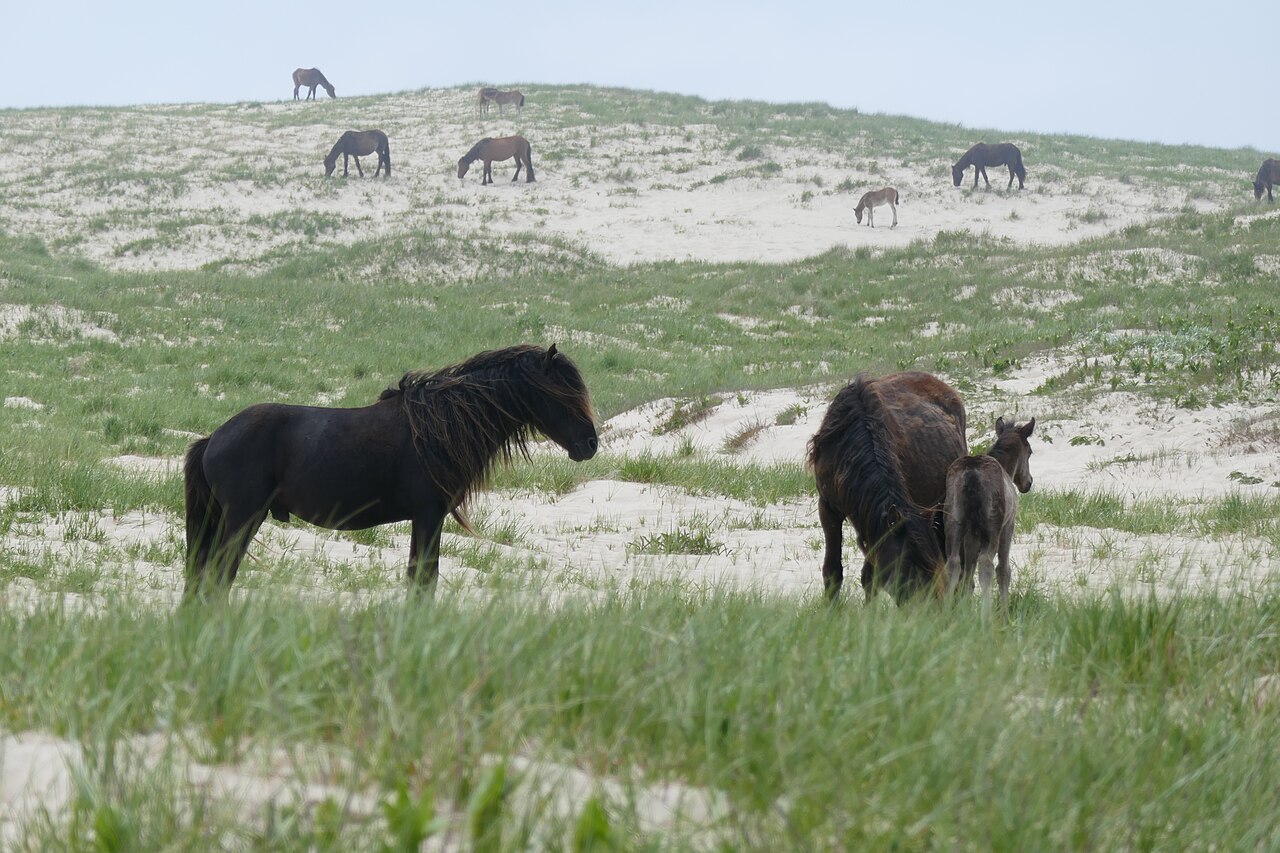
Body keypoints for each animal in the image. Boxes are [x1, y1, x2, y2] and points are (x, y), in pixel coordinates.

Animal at [183, 344, 598, 600]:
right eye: (561, 395)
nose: (590, 444)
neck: (440, 428)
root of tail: (214, 437)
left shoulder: (426, 519)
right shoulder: (429, 516)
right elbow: (424, 579)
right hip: (243, 519)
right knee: (219, 575)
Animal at [943, 417, 1035, 617]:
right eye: (1030, 452)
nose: (1028, 482)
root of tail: (971, 473)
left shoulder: (971, 536)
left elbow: (968, 576)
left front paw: (965, 611)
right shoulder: (1009, 525)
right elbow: (1004, 570)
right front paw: (1004, 613)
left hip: (954, 523)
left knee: (953, 563)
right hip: (991, 527)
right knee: (986, 564)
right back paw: (986, 616)